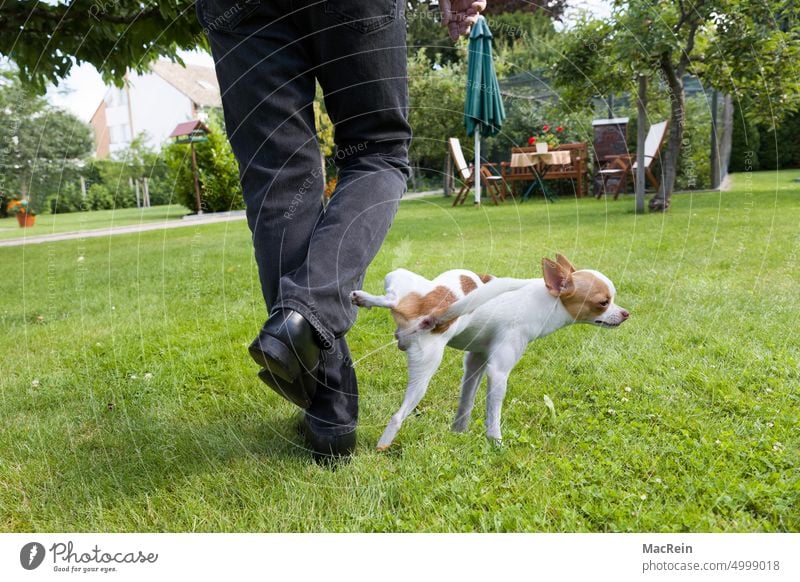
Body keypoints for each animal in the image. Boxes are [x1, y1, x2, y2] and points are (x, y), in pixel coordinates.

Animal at [354, 256, 628, 452]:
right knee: (397, 417)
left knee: (392, 297)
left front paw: (458, 434)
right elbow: (493, 414)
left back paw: (365, 298)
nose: (626, 313)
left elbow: (466, 402)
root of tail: (432, 310)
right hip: (426, 368)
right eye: (603, 302)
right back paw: (383, 446)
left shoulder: (475, 360)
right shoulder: (498, 370)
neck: (548, 299)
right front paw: (496, 443)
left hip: (399, 277)